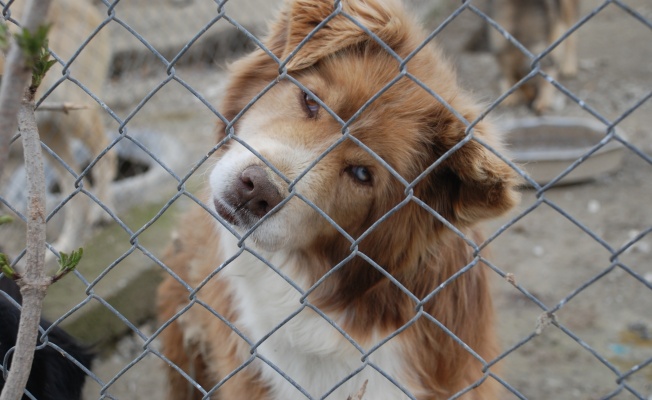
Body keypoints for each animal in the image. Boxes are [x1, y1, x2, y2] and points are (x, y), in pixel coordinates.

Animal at [0, 0, 114, 256]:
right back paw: (66, 245)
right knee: (77, 196)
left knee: (106, 153)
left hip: (75, 114)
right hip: (48, 137)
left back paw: (101, 213)